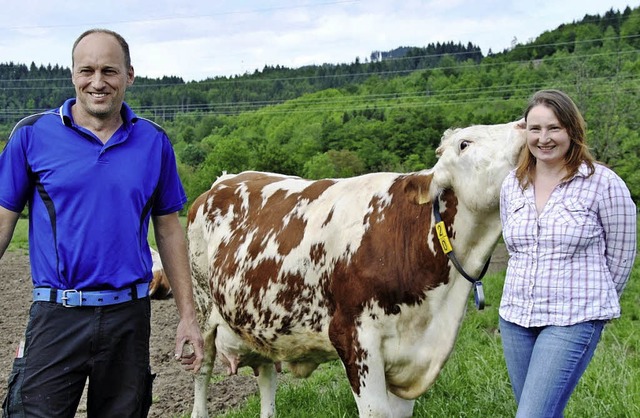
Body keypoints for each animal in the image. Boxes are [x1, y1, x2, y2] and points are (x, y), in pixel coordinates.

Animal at [189, 119, 524, 416]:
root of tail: (220, 181)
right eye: (465, 143)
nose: (524, 124)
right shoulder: (353, 337)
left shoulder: (407, 358)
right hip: (202, 310)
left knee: (266, 374)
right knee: (202, 371)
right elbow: (376, 412)